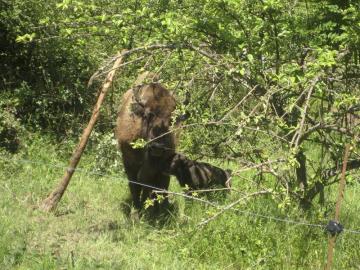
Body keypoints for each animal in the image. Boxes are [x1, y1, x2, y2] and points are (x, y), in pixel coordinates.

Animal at [115, 81, 177, 210]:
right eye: (148, 115)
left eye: (171, 119)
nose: (158, 146)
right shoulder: (129, 162)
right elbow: (135, 184)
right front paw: (136, 210)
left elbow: (151, 182)